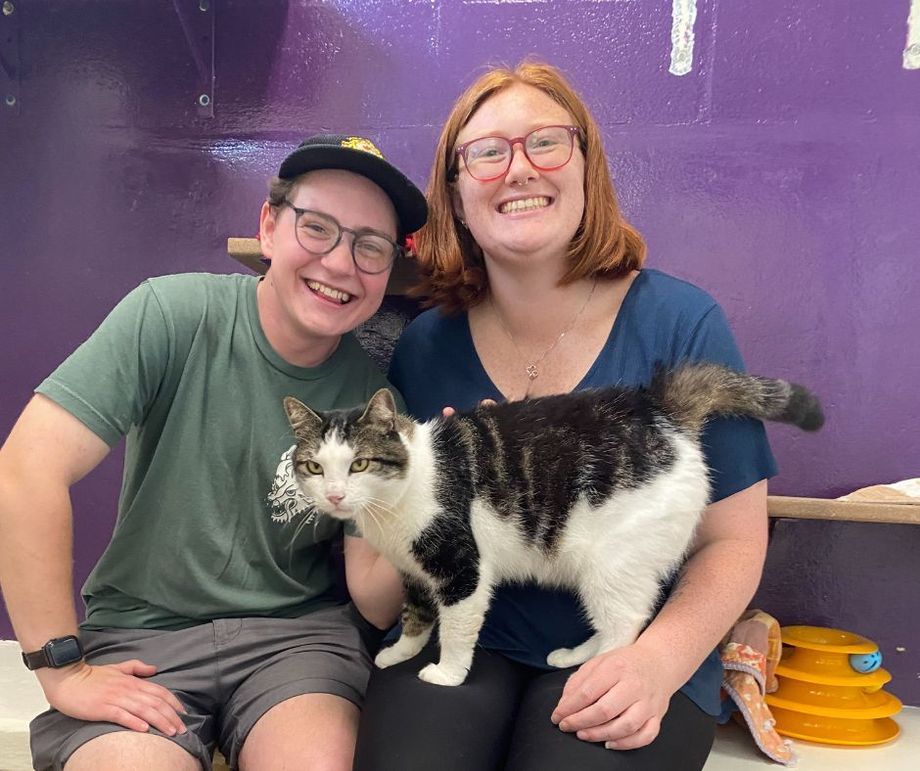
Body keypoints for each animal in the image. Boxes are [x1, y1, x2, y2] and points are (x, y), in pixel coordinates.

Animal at [284, 366, 824, 688]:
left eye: (359, 464)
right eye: (315, 467)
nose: (335, 495)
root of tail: (660, 412)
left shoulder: (462, 570)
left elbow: (457, 628)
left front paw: (447, 673)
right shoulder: (414, 570)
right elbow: (416, 615)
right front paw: (400, 652)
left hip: (611, 563)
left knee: (628, 624)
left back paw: (601, 668)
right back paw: (573, 656)